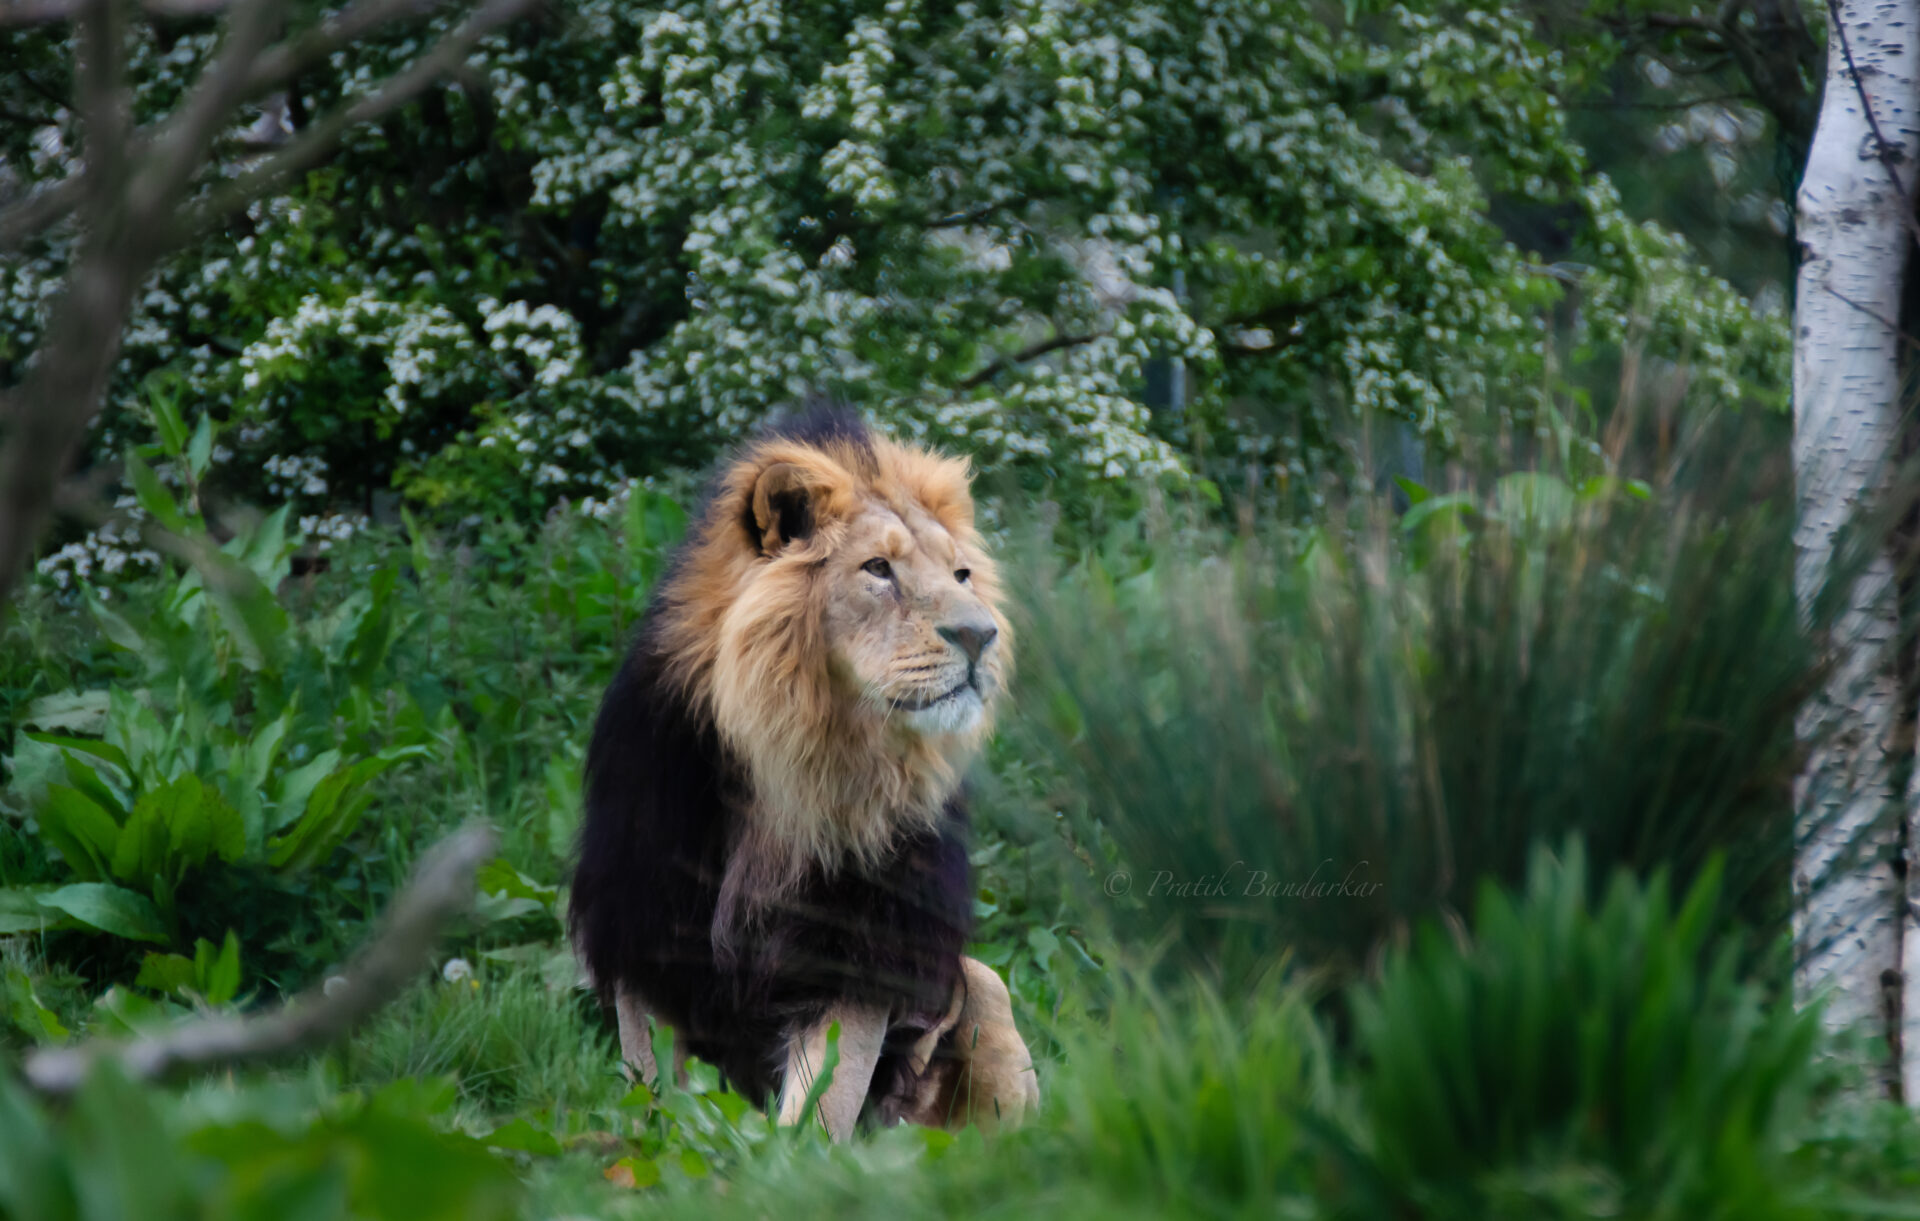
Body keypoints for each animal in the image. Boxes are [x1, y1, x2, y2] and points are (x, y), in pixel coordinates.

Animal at [568, 407, 1044, 1136]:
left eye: (962, 574)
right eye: (878, 568)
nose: (980, 635)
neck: (801, 748)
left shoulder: (857, 946)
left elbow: (822, 1106)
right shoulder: (641, 927)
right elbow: (656, 1094)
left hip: (978, 986)